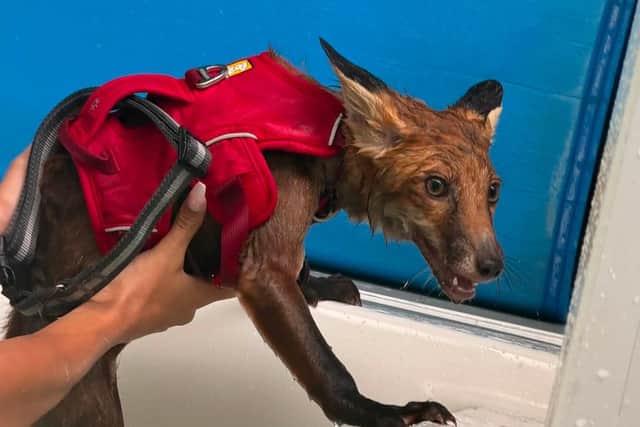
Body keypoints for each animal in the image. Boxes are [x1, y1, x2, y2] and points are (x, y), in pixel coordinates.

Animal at [5, 39, 504, 427]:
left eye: (494, 191)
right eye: (435, 186)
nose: (493, 266)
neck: (328, 140)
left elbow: (302, 270)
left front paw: (320, 287)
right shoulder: (261, 269)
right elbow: (330, 373)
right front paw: (386, 413)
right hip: (91, 402)